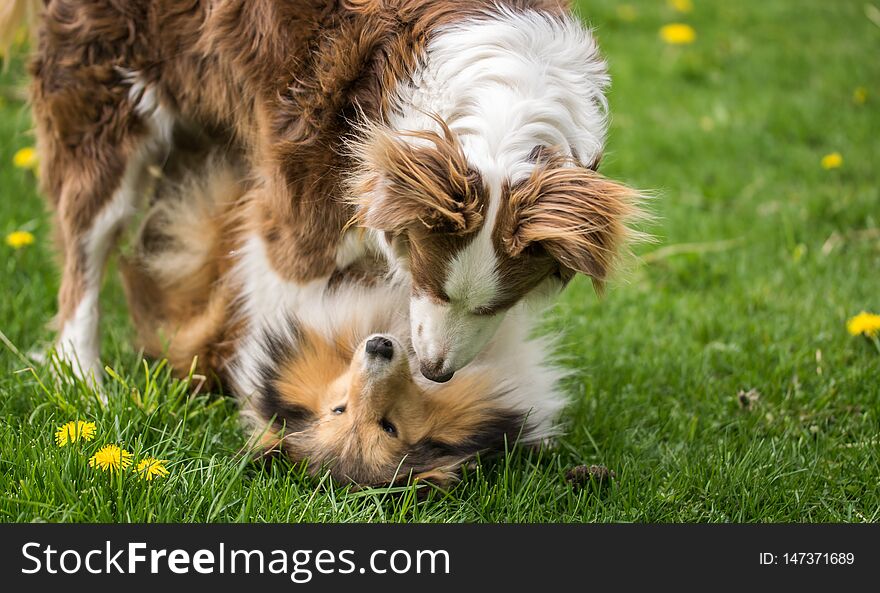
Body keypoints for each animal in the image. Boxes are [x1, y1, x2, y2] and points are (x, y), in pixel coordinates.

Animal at [3, 0, 644, 386]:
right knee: (85, 256)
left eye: (497, 305)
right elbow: (290, 299)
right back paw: (84, 382)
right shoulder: (300, 207)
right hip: (104, 101)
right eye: (430, 283)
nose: (435, 372)